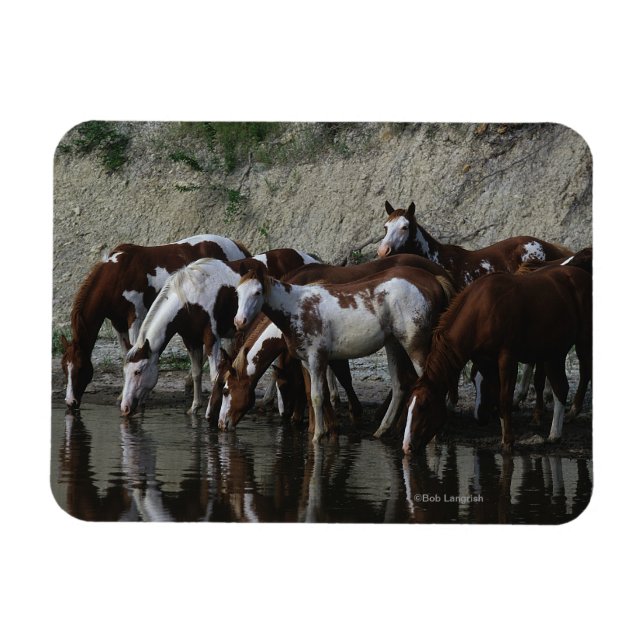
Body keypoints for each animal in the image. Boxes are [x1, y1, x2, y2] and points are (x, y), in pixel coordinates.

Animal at [60, 234, 251, 410]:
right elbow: (126, 354)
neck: (118, 274)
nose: (70, 402)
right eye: (64, 368)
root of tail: (238, 247)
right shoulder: (118, 323)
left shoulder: (135, 318)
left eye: (80, 369)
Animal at [120, 248, 319, 417]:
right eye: (125, 372)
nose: (125, 408)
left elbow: (215, 375)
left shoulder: (211, 338)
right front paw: (195, 407)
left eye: (138, 371)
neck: (190, 297)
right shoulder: (191, 340)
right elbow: (196, 372)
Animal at [234, 264, 455, 442]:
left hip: (415, 346)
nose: (239, 321)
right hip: (393, 344)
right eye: (237, 293)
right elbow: (316, 394)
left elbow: (316, 396)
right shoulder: (307, 361)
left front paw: (318, 436)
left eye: (257, 292)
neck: (296, 307)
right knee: (399, 386)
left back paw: (432, 437)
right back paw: (382, 430)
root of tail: (434, 280)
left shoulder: (317, 359)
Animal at [401, 264, 592, 455]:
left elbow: (505, 399)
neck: (481, 312)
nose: (406, 446)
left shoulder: (507, 358)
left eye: (424, 406)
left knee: (583, 373)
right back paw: (555, 434)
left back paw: (571, 414)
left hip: (582, 342)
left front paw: (508, 442)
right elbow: (497, 394)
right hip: (553, 353)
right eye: (408, 406)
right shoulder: (485, 361)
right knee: (561, 387)